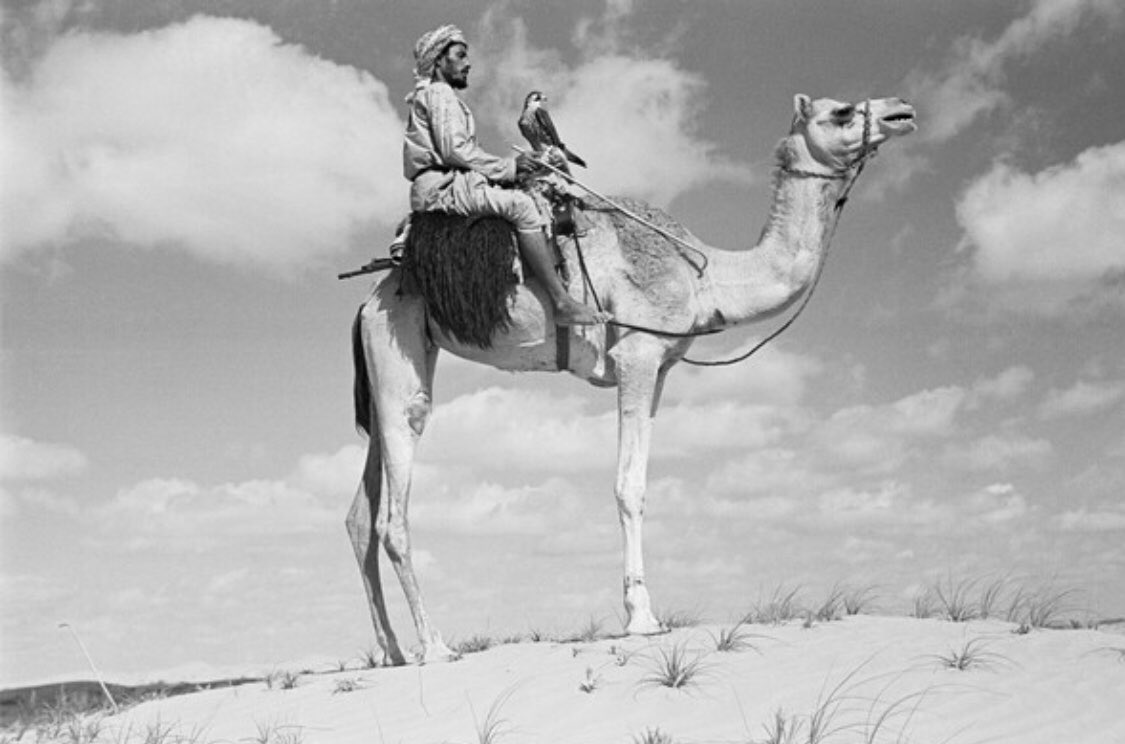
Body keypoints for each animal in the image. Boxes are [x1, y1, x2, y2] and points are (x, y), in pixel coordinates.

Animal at [347, 94, 917, 664]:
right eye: (842, 112)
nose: (901, 111)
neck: (705, 277)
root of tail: (367, 302)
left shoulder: (660, 369)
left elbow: (640, 479)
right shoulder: (637, 356)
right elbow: (629, 487)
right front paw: (642, 618)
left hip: (388, 364)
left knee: (360, 516)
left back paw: (392, 651)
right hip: (399, 344)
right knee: (395, 504)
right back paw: (434, 646)